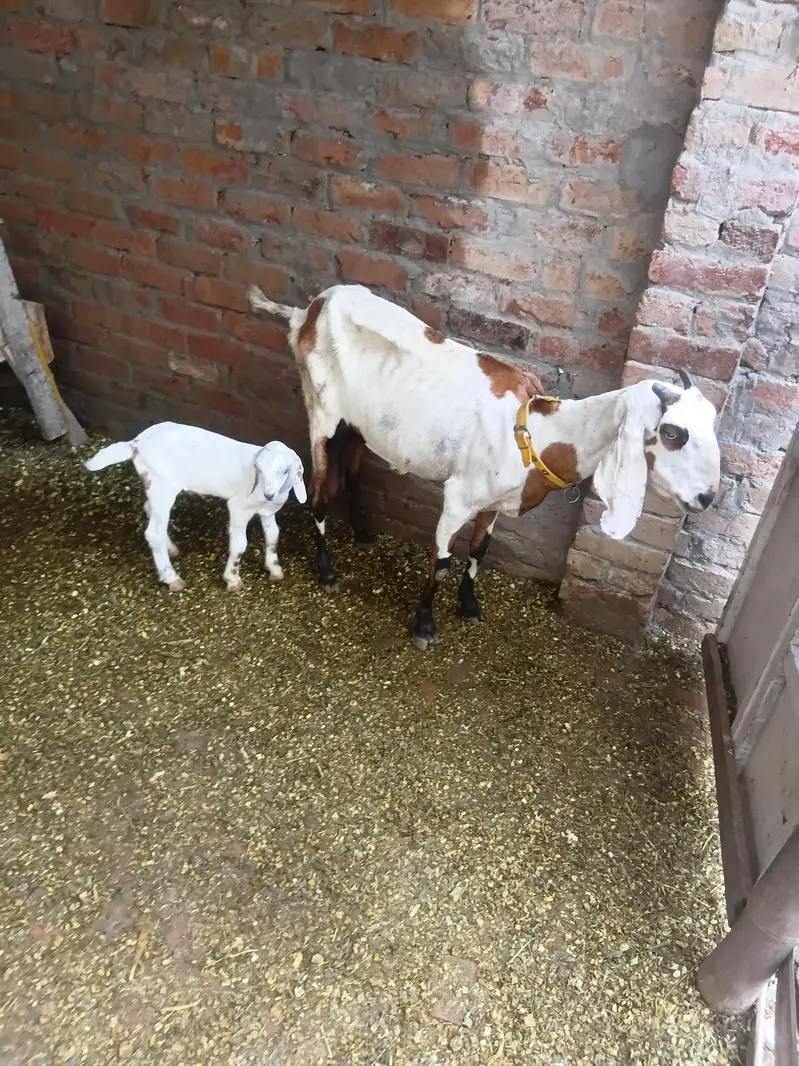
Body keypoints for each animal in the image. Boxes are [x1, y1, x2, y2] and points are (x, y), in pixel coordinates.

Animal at [85, 422, 306, 591]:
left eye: (285, 470)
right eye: (259, 470)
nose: (269, 493)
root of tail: (135, 443)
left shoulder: (267, 511)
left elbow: (273, 536)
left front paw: (274, 569)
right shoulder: (238, 507)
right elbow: (240, 544)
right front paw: (233, 579)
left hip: (156, 486)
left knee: (150, 511)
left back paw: (171, 549)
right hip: (162, 484)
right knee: (153, 533)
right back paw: (172, 578)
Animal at [249, 284, 721, 649]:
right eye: (673, 433)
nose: (707, 497)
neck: (536, 432)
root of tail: (306, 311)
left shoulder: (494, 502)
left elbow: (480, 550)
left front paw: (469, 606)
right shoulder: (458, 497)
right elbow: (441, 559)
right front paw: (424, 625)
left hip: (358, 424)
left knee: (351, 471)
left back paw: (363, 532)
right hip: (322, 412)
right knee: (319, 489)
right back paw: (327, 569)